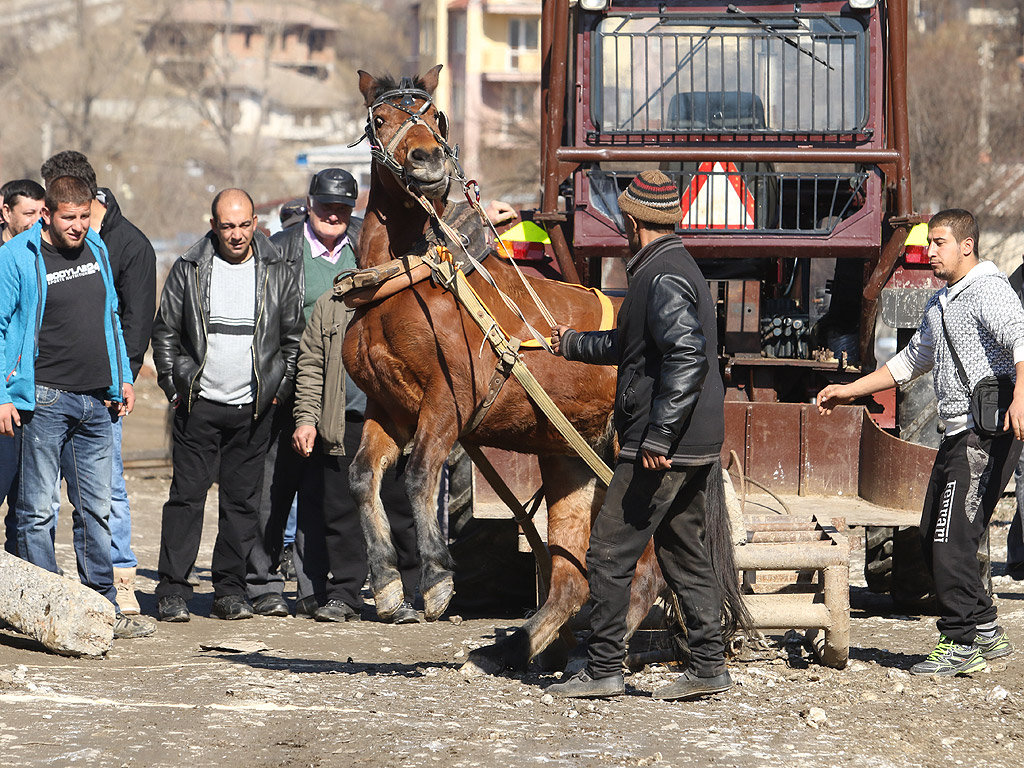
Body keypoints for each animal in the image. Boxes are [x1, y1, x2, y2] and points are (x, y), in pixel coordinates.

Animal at [344, 69, 745, 675]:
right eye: (382, 118)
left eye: (435, 116)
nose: (428, 160)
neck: (406, 286)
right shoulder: (388, 409)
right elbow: (364, 476)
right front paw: (390, 586)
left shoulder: (448, 405)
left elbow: (418, 475)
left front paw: (435, 582)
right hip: (571, 463)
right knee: (570, 579)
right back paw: (521, 645)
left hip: (633, 472)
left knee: (644, 570)